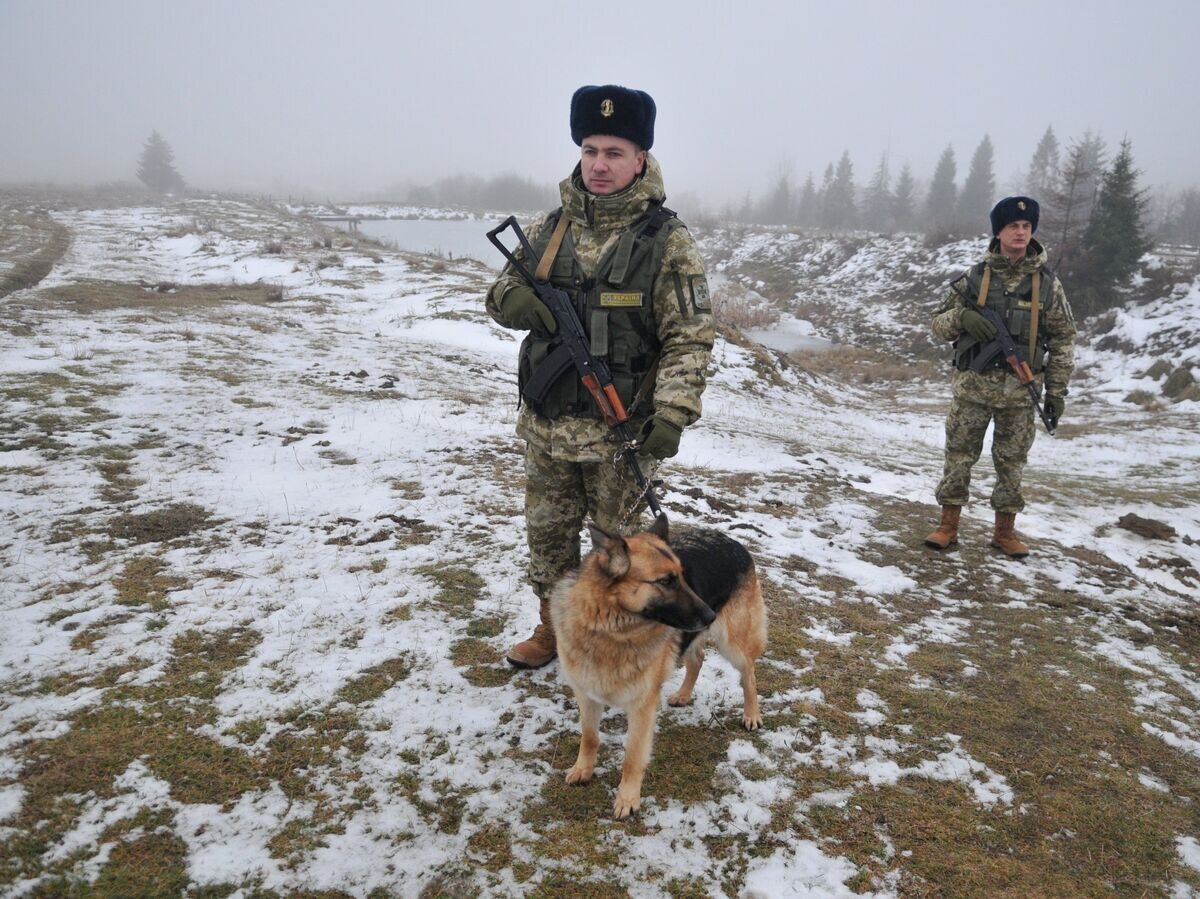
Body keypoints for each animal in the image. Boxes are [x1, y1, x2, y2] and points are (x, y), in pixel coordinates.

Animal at [549, 516, 763, 816]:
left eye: (683, 577)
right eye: (666, 581)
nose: (711, 614)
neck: (610, 630)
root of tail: (732, 541)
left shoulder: (643, 706)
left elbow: (632, 756)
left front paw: (627, 799)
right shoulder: (586, 694)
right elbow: (590, 737)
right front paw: (583, 769)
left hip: (733, 643)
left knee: (749, 675)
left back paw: (751, 714)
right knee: (697, 659)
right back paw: (684, 695)